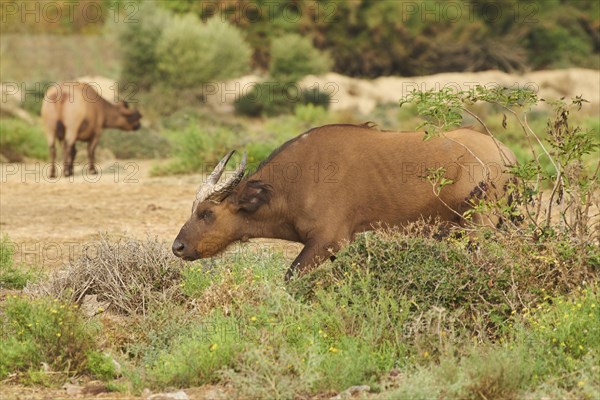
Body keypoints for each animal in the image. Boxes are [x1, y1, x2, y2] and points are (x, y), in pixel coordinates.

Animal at [172, 123, 516, 280]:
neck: (295, 182)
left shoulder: (326, 242)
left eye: (206, 213)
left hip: (480, 228)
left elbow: (289, 278)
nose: (177, 247)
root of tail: (505, 154)